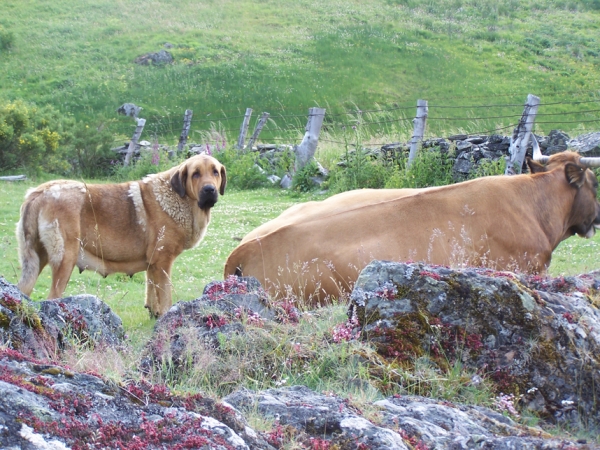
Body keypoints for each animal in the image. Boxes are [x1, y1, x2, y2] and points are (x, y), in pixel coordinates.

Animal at [17, 154, 227, 316]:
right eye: (195, 174)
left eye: (215, 172)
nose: (209, 190)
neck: (179, 199)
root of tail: (37, 193)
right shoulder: (163, 262)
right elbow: (165, 297)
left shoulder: (153, 265)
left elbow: (152, 294)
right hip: (65, 260)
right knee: (52, 297)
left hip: (36, 262)